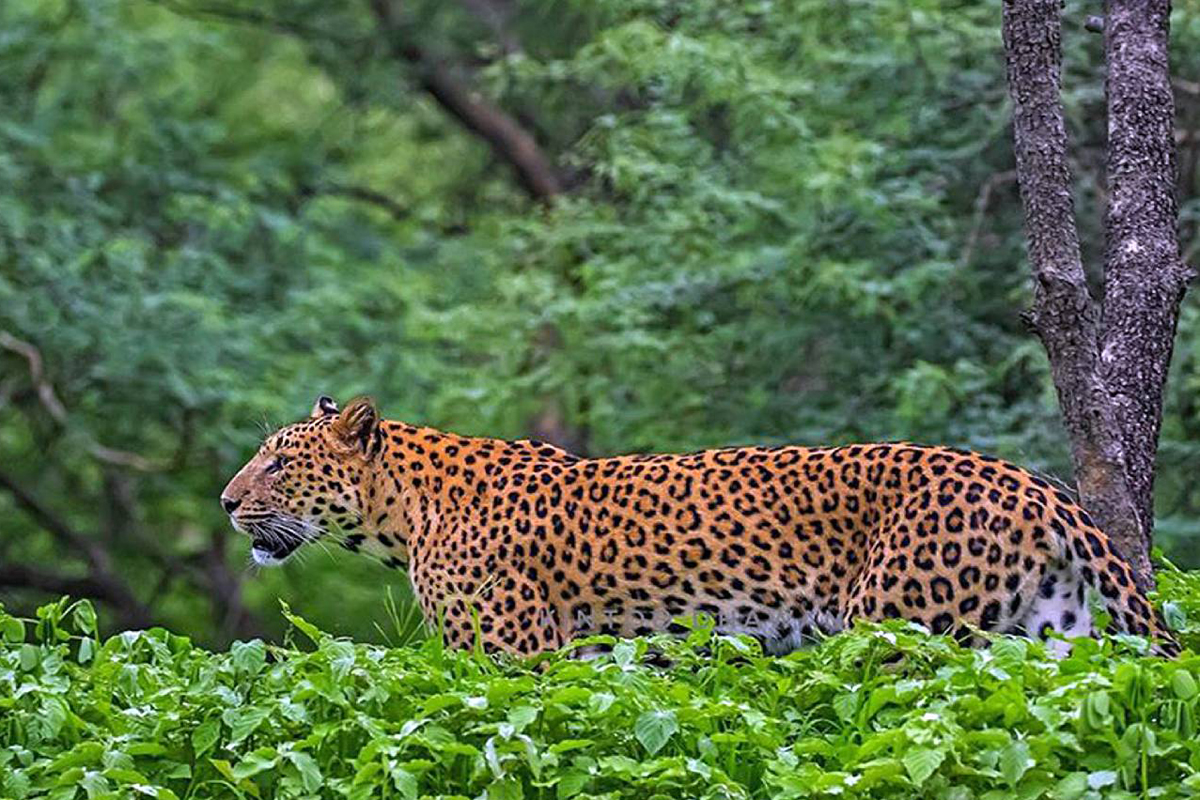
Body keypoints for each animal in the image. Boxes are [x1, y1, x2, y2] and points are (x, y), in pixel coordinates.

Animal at [220, 393, 1176, 657]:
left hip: (903, 631)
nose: (227, 503)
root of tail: (1035, 483)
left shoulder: (510, 655)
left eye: (277, 462)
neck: (403, 514)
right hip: (1048, 636)